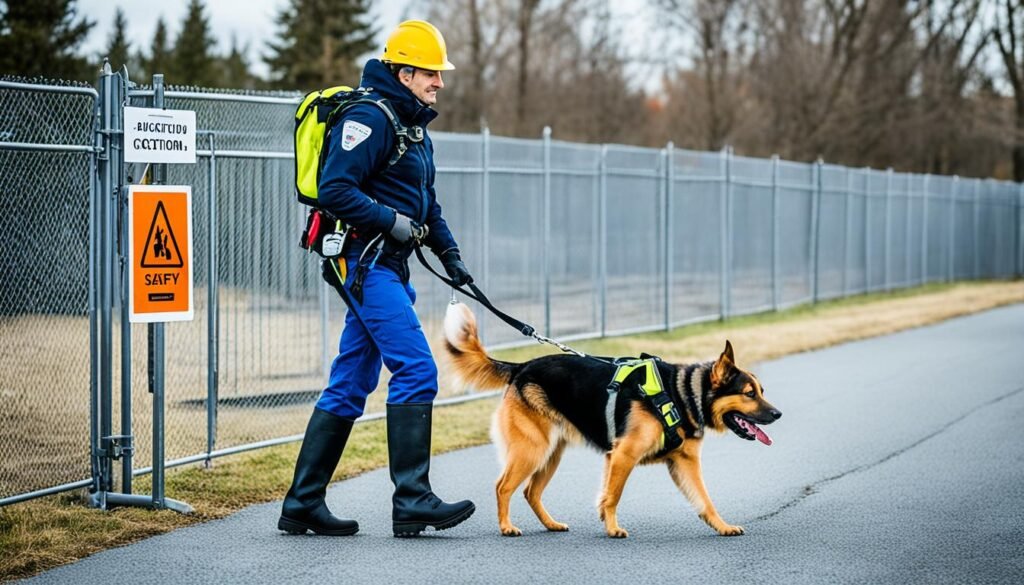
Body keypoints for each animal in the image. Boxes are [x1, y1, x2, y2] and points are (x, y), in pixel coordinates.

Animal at [442, 305, 782, 536]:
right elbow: (613, 496)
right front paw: (613, 529)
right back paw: (506, 526)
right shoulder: (623, 455)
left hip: (551, 453)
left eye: (761, 391)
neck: (682, 393)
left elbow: (705, 500)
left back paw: (551, 524)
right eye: (749, 393)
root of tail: (521, 367)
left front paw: (722, 526)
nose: (778, 414)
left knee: (530, 492)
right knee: (503, 487)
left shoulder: (683, 464)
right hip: (532, 450)